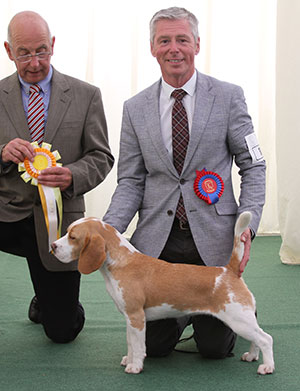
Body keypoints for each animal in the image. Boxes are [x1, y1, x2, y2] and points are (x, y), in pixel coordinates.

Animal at [51, 214, 274, 376]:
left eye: (72, 237)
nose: (53, 246)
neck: (120, 261)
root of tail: (230, 270)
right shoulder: (130, 318)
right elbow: (130, 343)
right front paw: (128, 359)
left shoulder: (136, 317)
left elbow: (139, 346)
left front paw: (135, 366)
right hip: (243, 321)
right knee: (257, 338)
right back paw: (251, 356)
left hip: (238, 321)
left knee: (266, 338)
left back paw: (267, 367)